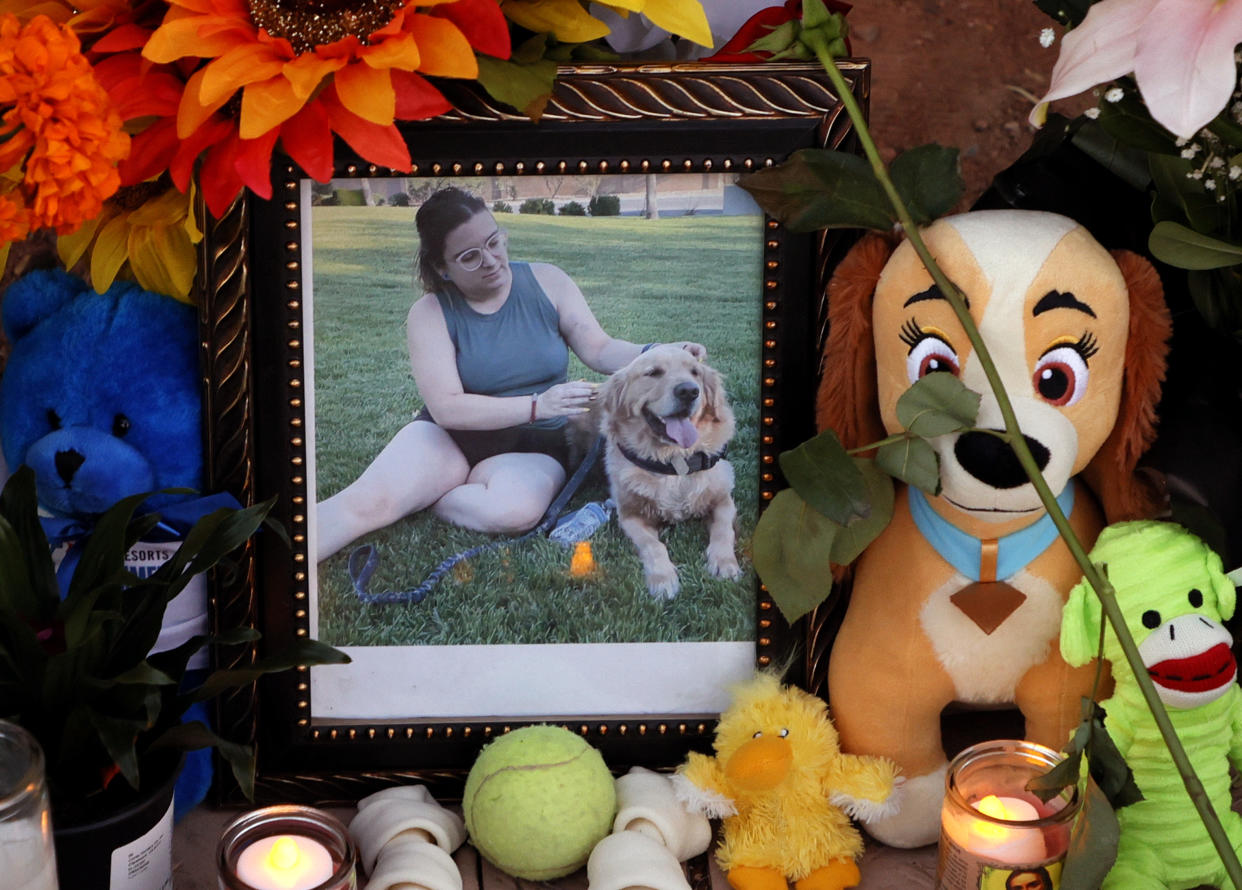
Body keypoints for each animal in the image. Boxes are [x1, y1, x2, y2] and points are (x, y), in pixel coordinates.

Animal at [598, 345, 735, 598]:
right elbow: (654, 545)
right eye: (653, 373)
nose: (689, 391)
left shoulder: (723, 500)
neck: (672, 459)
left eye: (695, 372)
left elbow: (723, 529)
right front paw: (663, 578)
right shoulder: (630, 515)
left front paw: (724, 563)